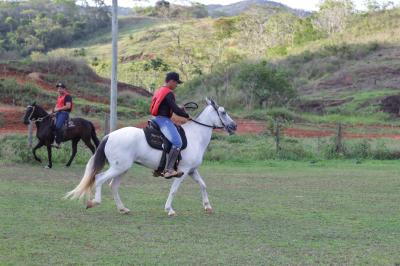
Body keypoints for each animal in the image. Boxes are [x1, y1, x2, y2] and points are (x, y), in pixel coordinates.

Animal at [64, 98, 236, 215]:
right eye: (223, 112)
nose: (234, 126)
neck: (195, 136)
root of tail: (109, 136)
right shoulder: (183, 171)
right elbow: (174, 190)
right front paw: (169, 209)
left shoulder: (192, 170)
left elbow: (203, 185)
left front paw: (207, 206)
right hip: (119, 167)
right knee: (99, 178)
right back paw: (95, 202)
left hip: (122, 169)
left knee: (113, 185)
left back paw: (122, 208)